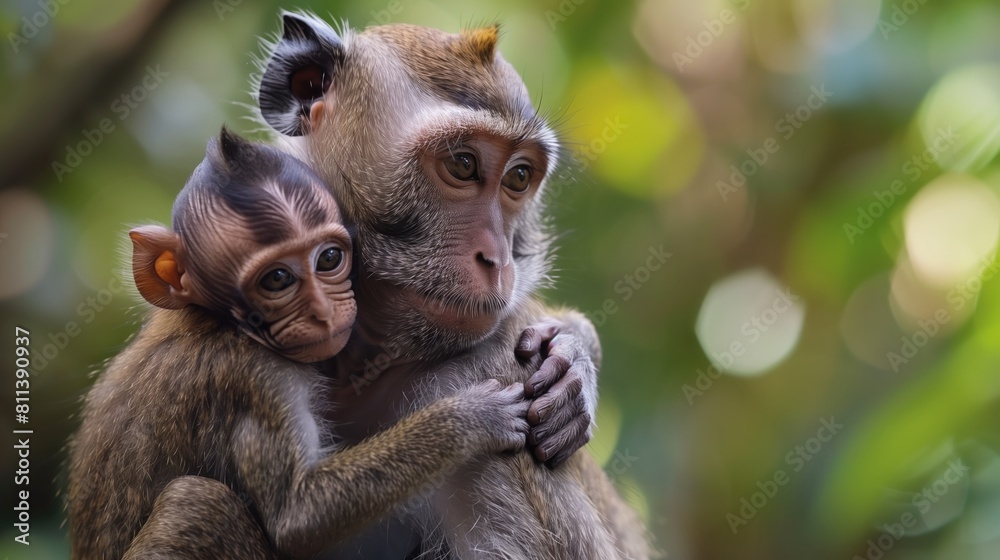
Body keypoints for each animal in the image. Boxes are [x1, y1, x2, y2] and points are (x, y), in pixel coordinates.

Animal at [67, 128, 546, 560]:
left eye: (329, 258)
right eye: (277, 279)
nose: (324, 312)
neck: (220, 322)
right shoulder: (259, 379)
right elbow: (297, 516)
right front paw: (470, 418)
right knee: (199, 505)